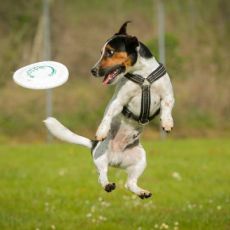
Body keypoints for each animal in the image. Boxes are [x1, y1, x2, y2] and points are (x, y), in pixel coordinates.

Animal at [44, 21, 174, 199]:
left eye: (110, 52)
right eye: (101, 53)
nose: (93, 71)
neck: (143, 75)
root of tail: (116, 159)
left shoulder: (167, 95)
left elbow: (167, 108)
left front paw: (167, 122)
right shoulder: (118, 101)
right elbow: (108, 115)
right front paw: (101, 131)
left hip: (140, 159)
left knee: (130, 183)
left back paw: (142, 192)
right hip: (102, 157)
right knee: (102, 176)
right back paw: (107, 184)